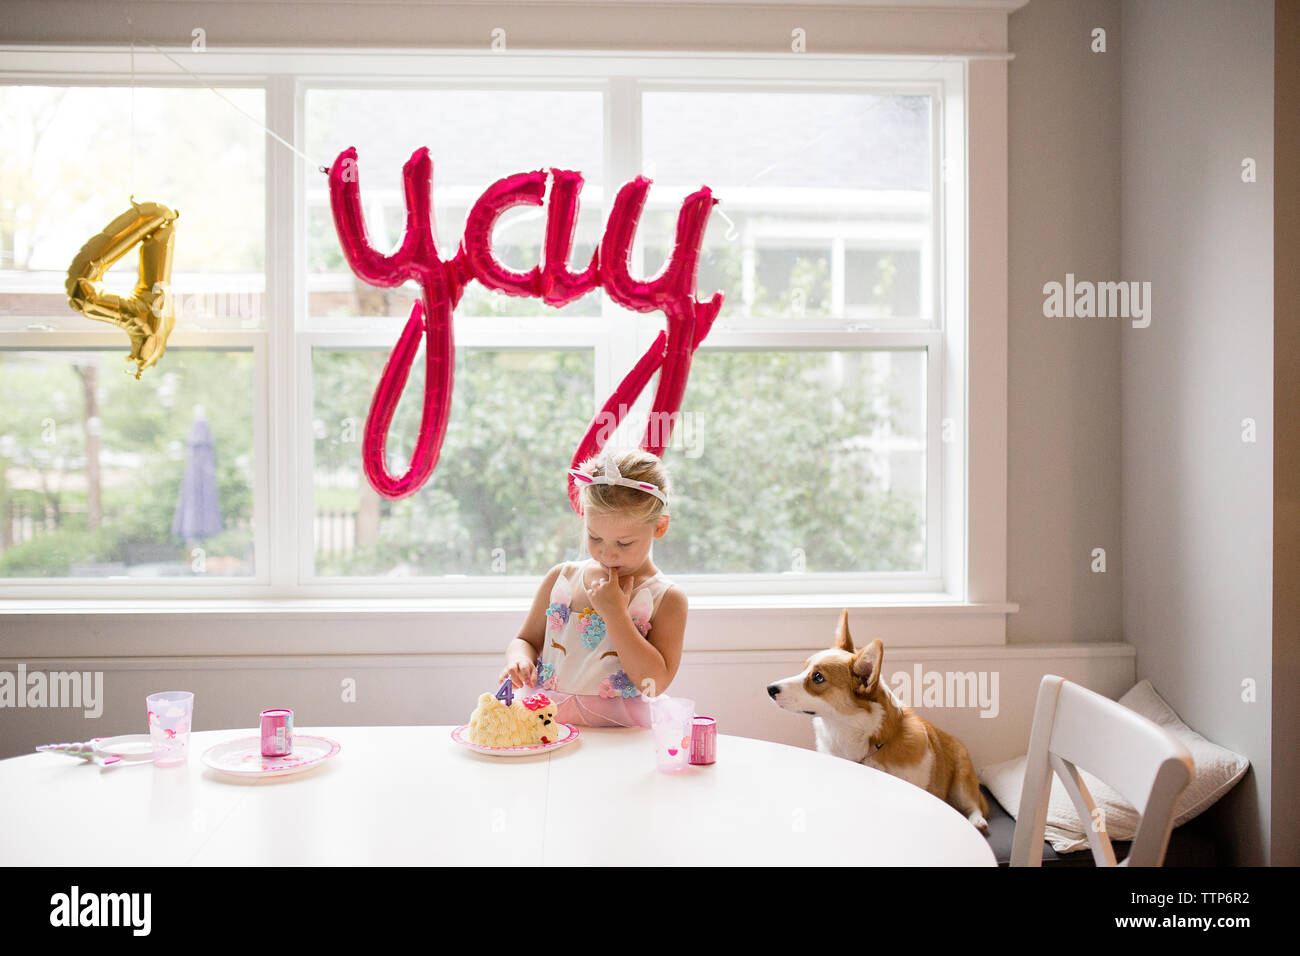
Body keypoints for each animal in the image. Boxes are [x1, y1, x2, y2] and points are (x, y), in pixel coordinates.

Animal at [764, 613, 987, 832]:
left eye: (818, 677)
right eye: (804, 669)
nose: (769, 688)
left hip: (962, 780)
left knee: (974, 805)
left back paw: (977, 821)